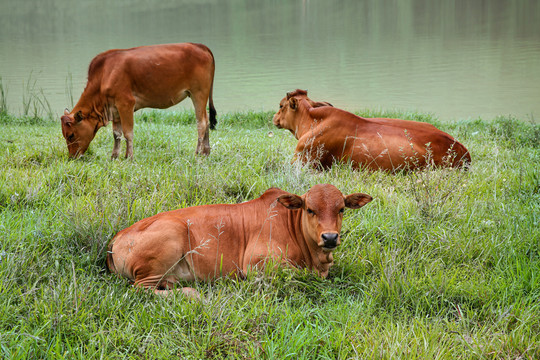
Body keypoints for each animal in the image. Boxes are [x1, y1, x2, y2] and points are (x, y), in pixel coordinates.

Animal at [60, 42, 216, 158]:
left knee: (201, 123)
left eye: (71, 135)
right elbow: (116, 135)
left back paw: (197, 153)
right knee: (207, 119)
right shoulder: (114, 109)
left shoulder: (126, 103)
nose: (72, 157)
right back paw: (206, 152)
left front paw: (129, 157)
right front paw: (114, 157)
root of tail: (199, 45)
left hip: (198, 93)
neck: (104, 75)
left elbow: (128, 132)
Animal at [107, 184, 374, 294]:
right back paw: (192, 294)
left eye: (341, 209)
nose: (329, 237)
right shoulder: (255, 264)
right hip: (169, 239)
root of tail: (116, 238)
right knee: (141, 290)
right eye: (310, 209)